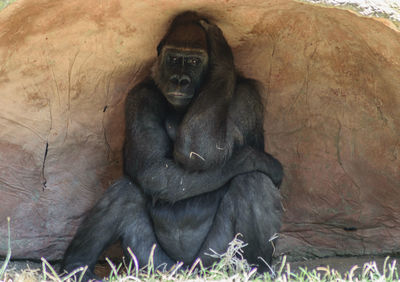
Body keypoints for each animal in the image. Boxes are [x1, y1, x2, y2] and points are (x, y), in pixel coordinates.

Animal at [61, 10, 282, 280]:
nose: (180, 81)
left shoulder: (246, 97)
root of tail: (184, 271)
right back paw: (76, 266)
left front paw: (221, 55)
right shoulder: (139, 96)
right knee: (125, 193)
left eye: (195, 62)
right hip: (154, 266)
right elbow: (156, 169)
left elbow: (203, 152)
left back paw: (257, 268)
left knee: (253, 182)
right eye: (174, 59)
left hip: (212, 263)